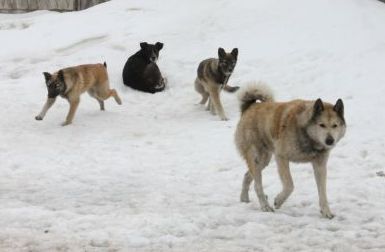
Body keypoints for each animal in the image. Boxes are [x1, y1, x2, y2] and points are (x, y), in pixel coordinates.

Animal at [234, 83, 344, 219]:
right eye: (321, 125)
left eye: (335, 125)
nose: (330, 140)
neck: (306, 134)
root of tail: (250, 107)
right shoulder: (281, 157)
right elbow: (289, 185)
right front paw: (278, 201)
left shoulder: (320, 165)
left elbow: (322, 191)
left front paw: (326, 212)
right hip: (257, 157)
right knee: (257, 185)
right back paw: (265, 206)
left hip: (264, 160)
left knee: (247, 176)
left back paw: (244, 198)